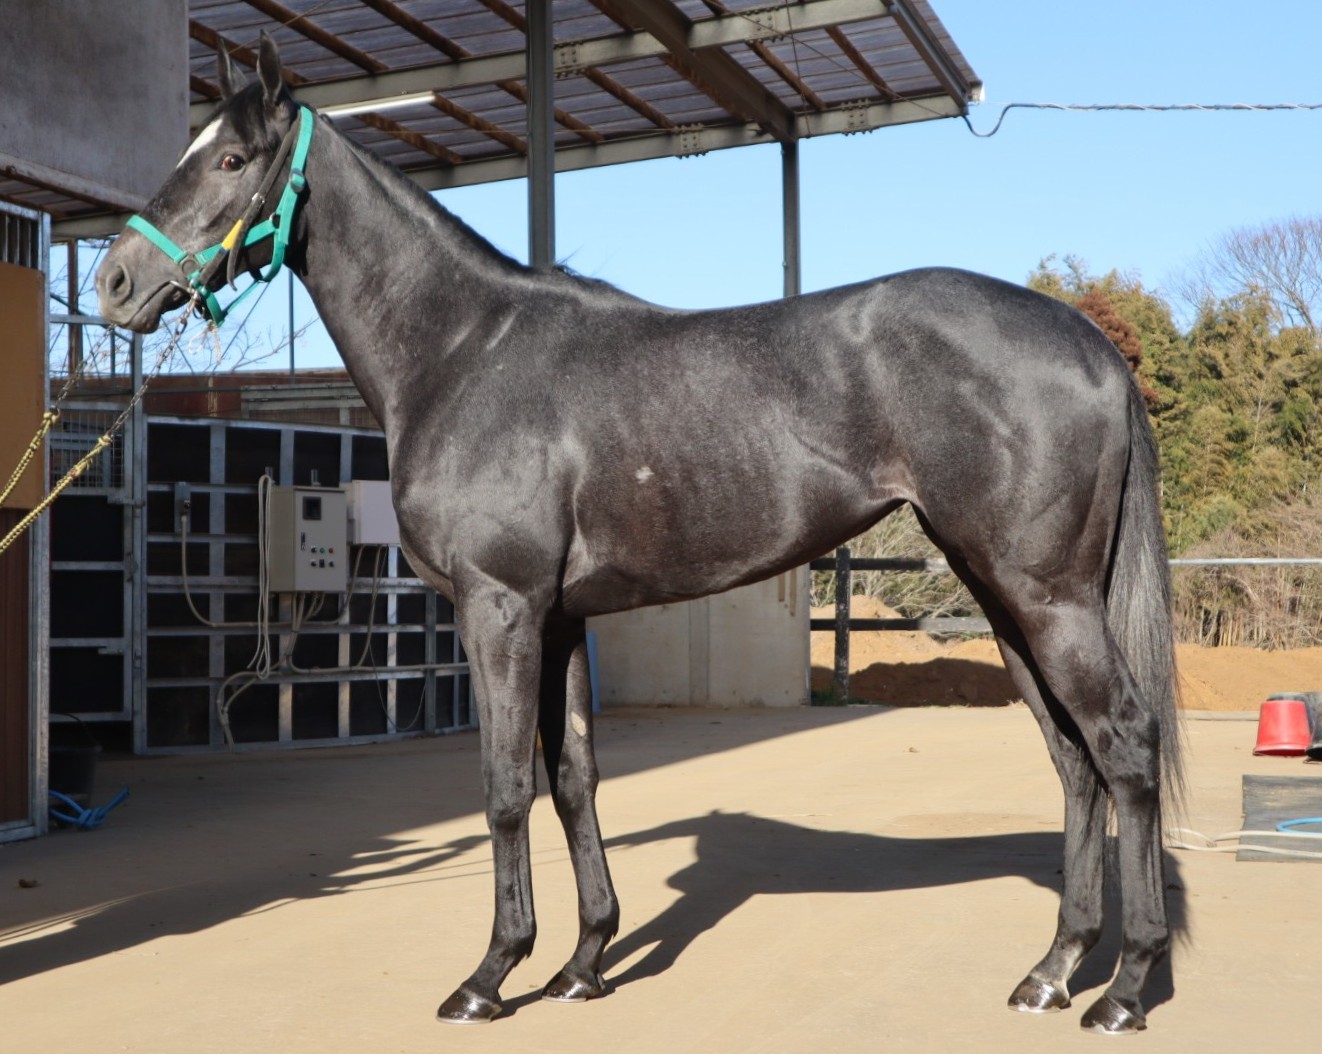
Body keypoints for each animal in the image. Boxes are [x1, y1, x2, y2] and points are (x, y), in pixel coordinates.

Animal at [97, 34, 1182, 1034]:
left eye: (232, 159)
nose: (112, 283)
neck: (464, 352)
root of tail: (1087, 342)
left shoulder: (500, 609)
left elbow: (503, 786)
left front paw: (489, 978)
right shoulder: (560, 618)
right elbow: (573, 779)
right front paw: (582, 964)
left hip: (1044, 598)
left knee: (1123, 744)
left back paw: (1123, 989)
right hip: (1004, 595)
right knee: (1074, 760)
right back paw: (1051, 971)